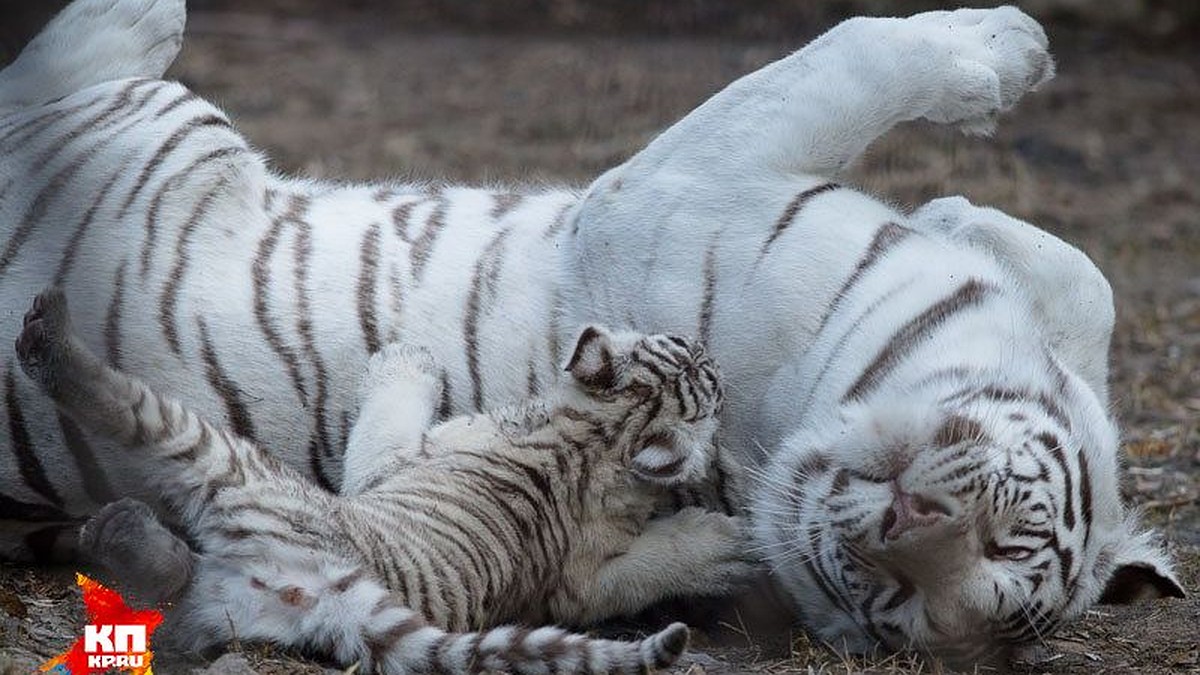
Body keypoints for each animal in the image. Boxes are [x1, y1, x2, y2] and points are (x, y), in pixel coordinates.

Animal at [0, 0, 1180, 662]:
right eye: (1005, 531)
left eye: (897, 603)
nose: (890, 527)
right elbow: (1075, 276)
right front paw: (979, 160)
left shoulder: (670, 184)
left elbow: (857, 55)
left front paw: (1004, 59)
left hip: (158, 131)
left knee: (50, 78)